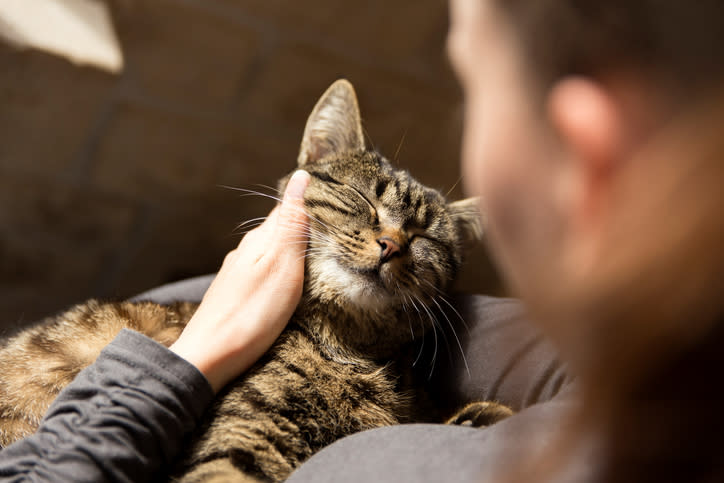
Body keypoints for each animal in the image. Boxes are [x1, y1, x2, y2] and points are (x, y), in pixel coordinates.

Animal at [0, 80, 510, 483]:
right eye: (363, 197)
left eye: (424, 237)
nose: (391, 244)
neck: (349, 349)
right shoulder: (242, 436)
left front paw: (481, 419)